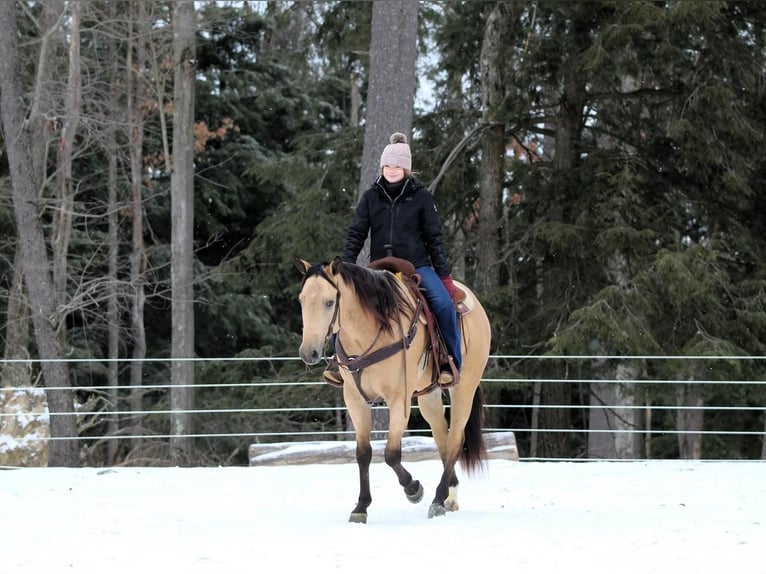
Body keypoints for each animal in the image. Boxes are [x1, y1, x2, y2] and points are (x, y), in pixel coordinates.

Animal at [294, 256, 492, 520]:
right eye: (302, 300)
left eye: (329, 302)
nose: (309, 353)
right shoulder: (355, 400)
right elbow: (363, 453)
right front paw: (361, 507)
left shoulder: (399, 399)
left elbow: (390, 454)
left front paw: (414, 489)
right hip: (429, 395)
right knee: (442, 437)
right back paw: (449, 496)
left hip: (464, 388)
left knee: (455, 440)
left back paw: (438, 498)